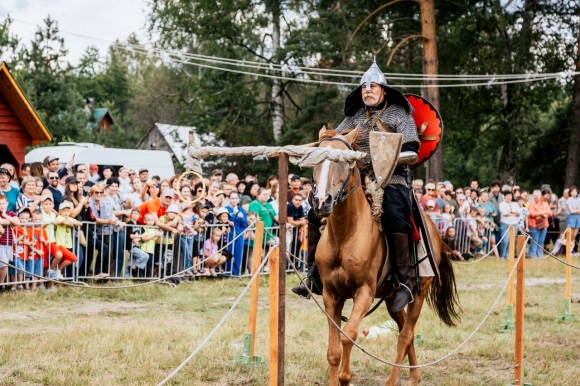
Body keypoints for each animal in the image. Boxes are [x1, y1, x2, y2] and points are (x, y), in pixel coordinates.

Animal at [310, 127, 460, 386]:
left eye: (344, 161)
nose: (321, 202)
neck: (345, 234)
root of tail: (434, 228)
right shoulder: (331, 294)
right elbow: (333, 350)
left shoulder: (364, 292)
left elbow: (349, 335)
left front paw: (345, 377)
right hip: (392, 299)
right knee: (404, 330)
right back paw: (414, 376)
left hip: (419, 292)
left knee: (405, 335)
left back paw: (393, 380)